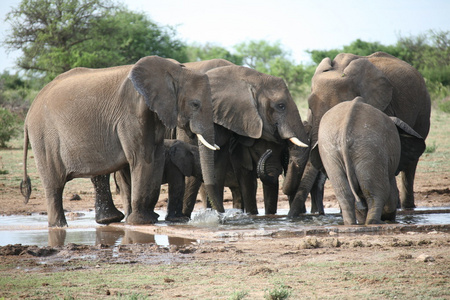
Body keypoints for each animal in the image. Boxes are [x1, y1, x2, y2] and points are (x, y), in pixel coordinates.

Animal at [19, 55, 223, 227]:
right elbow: (143, 158)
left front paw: (150, 219)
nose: (220, 218)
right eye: (195, 104)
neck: (174, 70)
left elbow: (155, 158)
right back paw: (59, 226)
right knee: (54, 185)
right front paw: (143, 222)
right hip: (44, 137)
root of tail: (28, 114)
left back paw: (107, 220)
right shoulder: (132, 113)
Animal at [286, 51, 430, 218]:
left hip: (423, 109)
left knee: (410, 165)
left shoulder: (382, 105)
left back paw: (407, 208)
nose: (290, 217)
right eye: (310, 107)